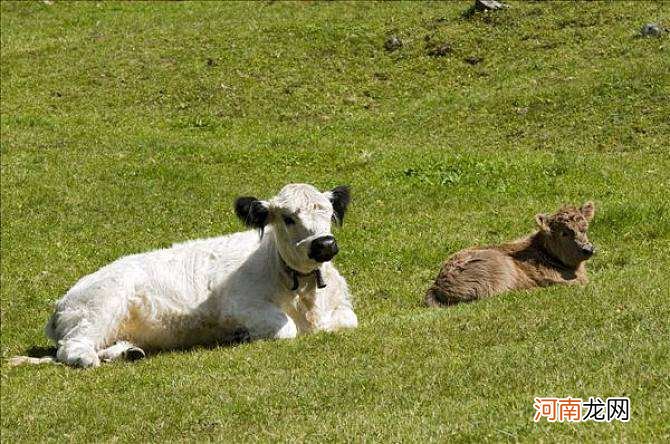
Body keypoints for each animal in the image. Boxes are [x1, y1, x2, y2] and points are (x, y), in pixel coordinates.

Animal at [26, 182, 360, 366]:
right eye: (289, 218)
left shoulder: (341, 309)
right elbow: (286, 328)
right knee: (73, 347)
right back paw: (86, 359)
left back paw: (128, 352)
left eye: (329, 213)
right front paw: (242, 334)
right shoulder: (238, 305)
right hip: (99, 307)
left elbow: (348, 321)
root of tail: (62, 302)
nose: (324, 244)